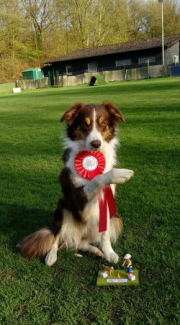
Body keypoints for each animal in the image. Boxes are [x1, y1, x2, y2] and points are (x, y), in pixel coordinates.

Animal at [18, 101, 134, 266]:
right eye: (85, 124)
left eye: (103, 124)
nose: (96, 143)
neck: (91, 157)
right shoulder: (76, 196)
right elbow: (96, 179)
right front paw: (120, 173)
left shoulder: (106, 203)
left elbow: (105, 235)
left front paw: (109, 253)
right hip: (62, 208)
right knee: (57, 237)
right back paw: (51, 256)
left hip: (115, 219)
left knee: (80, 243)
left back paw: (97, 250)